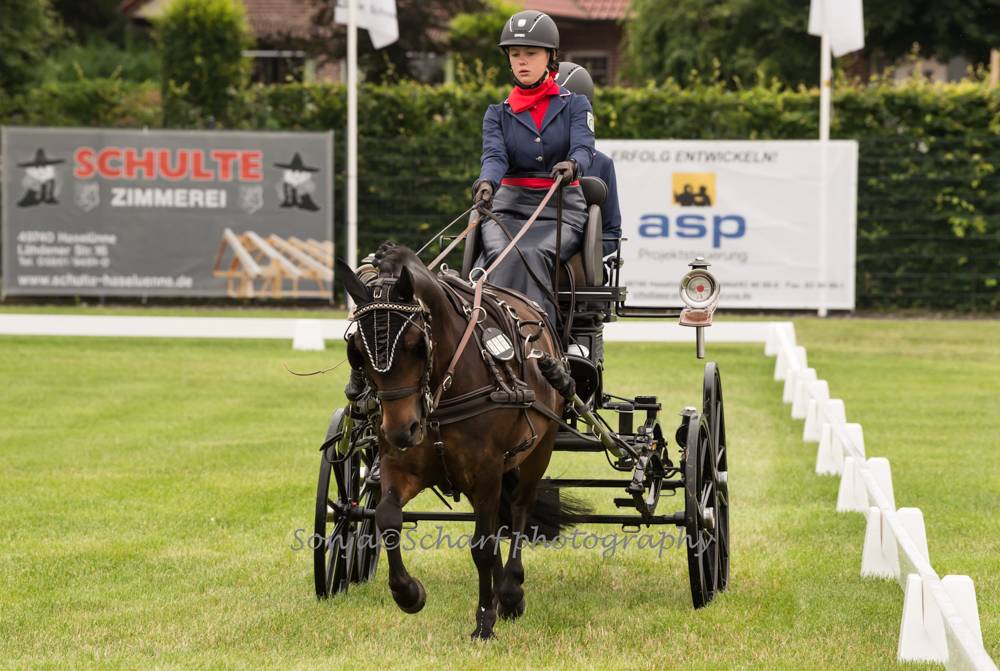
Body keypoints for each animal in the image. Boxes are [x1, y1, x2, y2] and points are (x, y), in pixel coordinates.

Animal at [336, 242, 587, 640]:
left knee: (519, 510)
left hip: (539, 450)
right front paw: (409, 593)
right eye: (356, 349)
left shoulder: (486, 470)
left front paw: (484, 621)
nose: (401, 430)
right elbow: (388, 519)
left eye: (416, 344)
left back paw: (511, 591)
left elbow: (482, 546)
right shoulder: (400, 465)